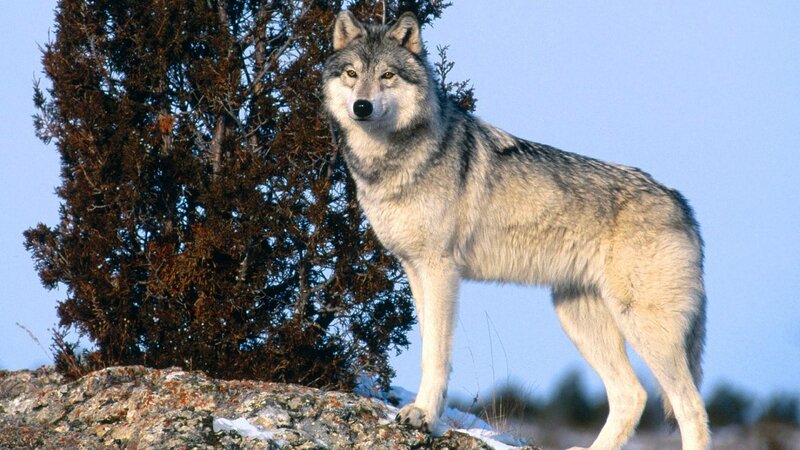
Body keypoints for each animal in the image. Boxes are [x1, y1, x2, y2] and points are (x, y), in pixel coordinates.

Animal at [322, 10, 710, 450]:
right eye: (352, 73)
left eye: (387, 75)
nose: (362, 106)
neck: (392, 161)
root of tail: (681, 202)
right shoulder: (415, 270)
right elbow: (426, 350)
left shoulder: (441, 271)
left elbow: (437, 355)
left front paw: (423, 416)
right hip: (577, 318)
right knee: (633, 395)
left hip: (644, 328)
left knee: (690, 406)